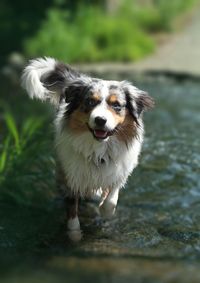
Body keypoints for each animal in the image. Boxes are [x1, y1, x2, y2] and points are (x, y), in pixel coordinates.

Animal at [21, 57, 154, 242]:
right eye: (90, 102)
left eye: (116, 105)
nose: (100, 120)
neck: (99, 148)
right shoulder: (70, 175)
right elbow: (72, 209)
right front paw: (75, 235)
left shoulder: (119, 170)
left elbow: (112, 194)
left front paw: (106, 210)